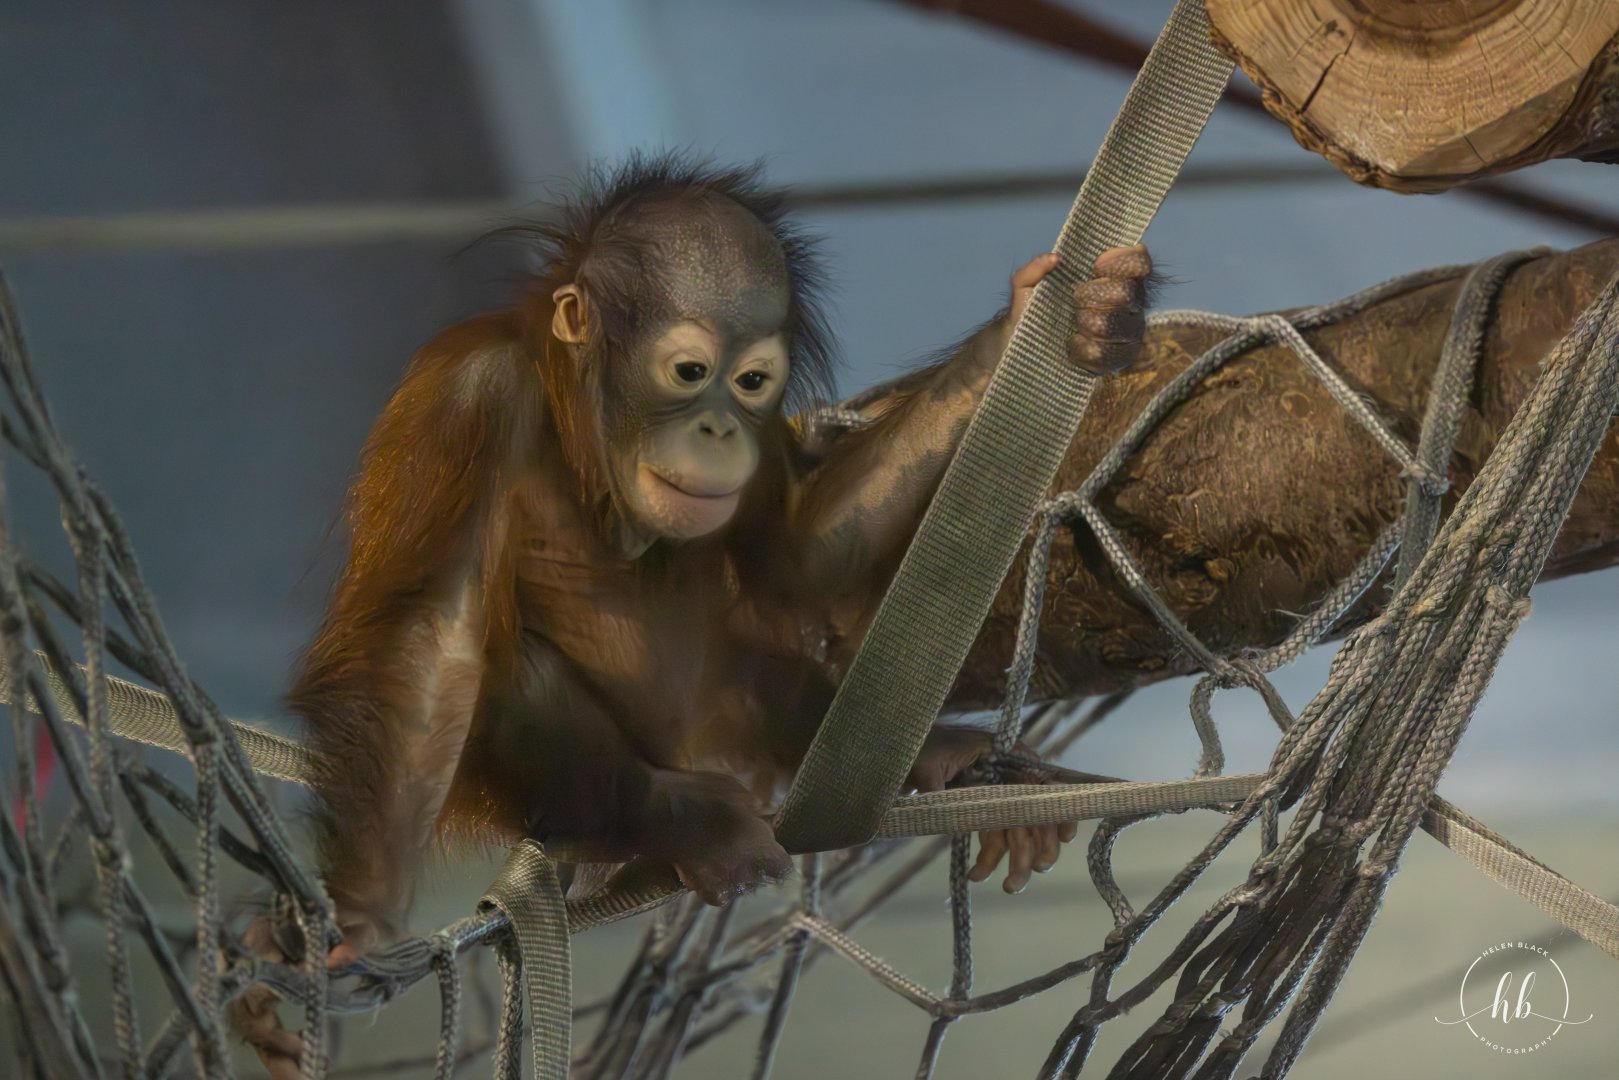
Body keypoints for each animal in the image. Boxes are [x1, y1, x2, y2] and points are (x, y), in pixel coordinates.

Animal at [287, 154, 1153, 965]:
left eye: (752, 382)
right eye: (689, 372)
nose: (719, 429)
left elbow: (801, 555)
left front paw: (1053, 317)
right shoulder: (470, 398)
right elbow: (433, 637)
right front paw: (360, 919)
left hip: (725, 711)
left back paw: (942, 756)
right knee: (510, 674)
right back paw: (684, 820)